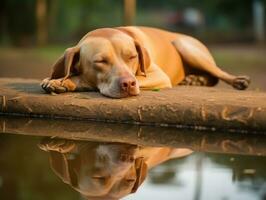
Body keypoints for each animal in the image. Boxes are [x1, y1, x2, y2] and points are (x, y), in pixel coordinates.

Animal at [40, 26, 250, 98]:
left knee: (218, 74)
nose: (128, 84)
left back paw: (238, 80)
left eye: (132, 57)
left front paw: (64, 81)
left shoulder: (158, 76)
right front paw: (56, 79)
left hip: (184, 45)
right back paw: (194, 80)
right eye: (100, 61)